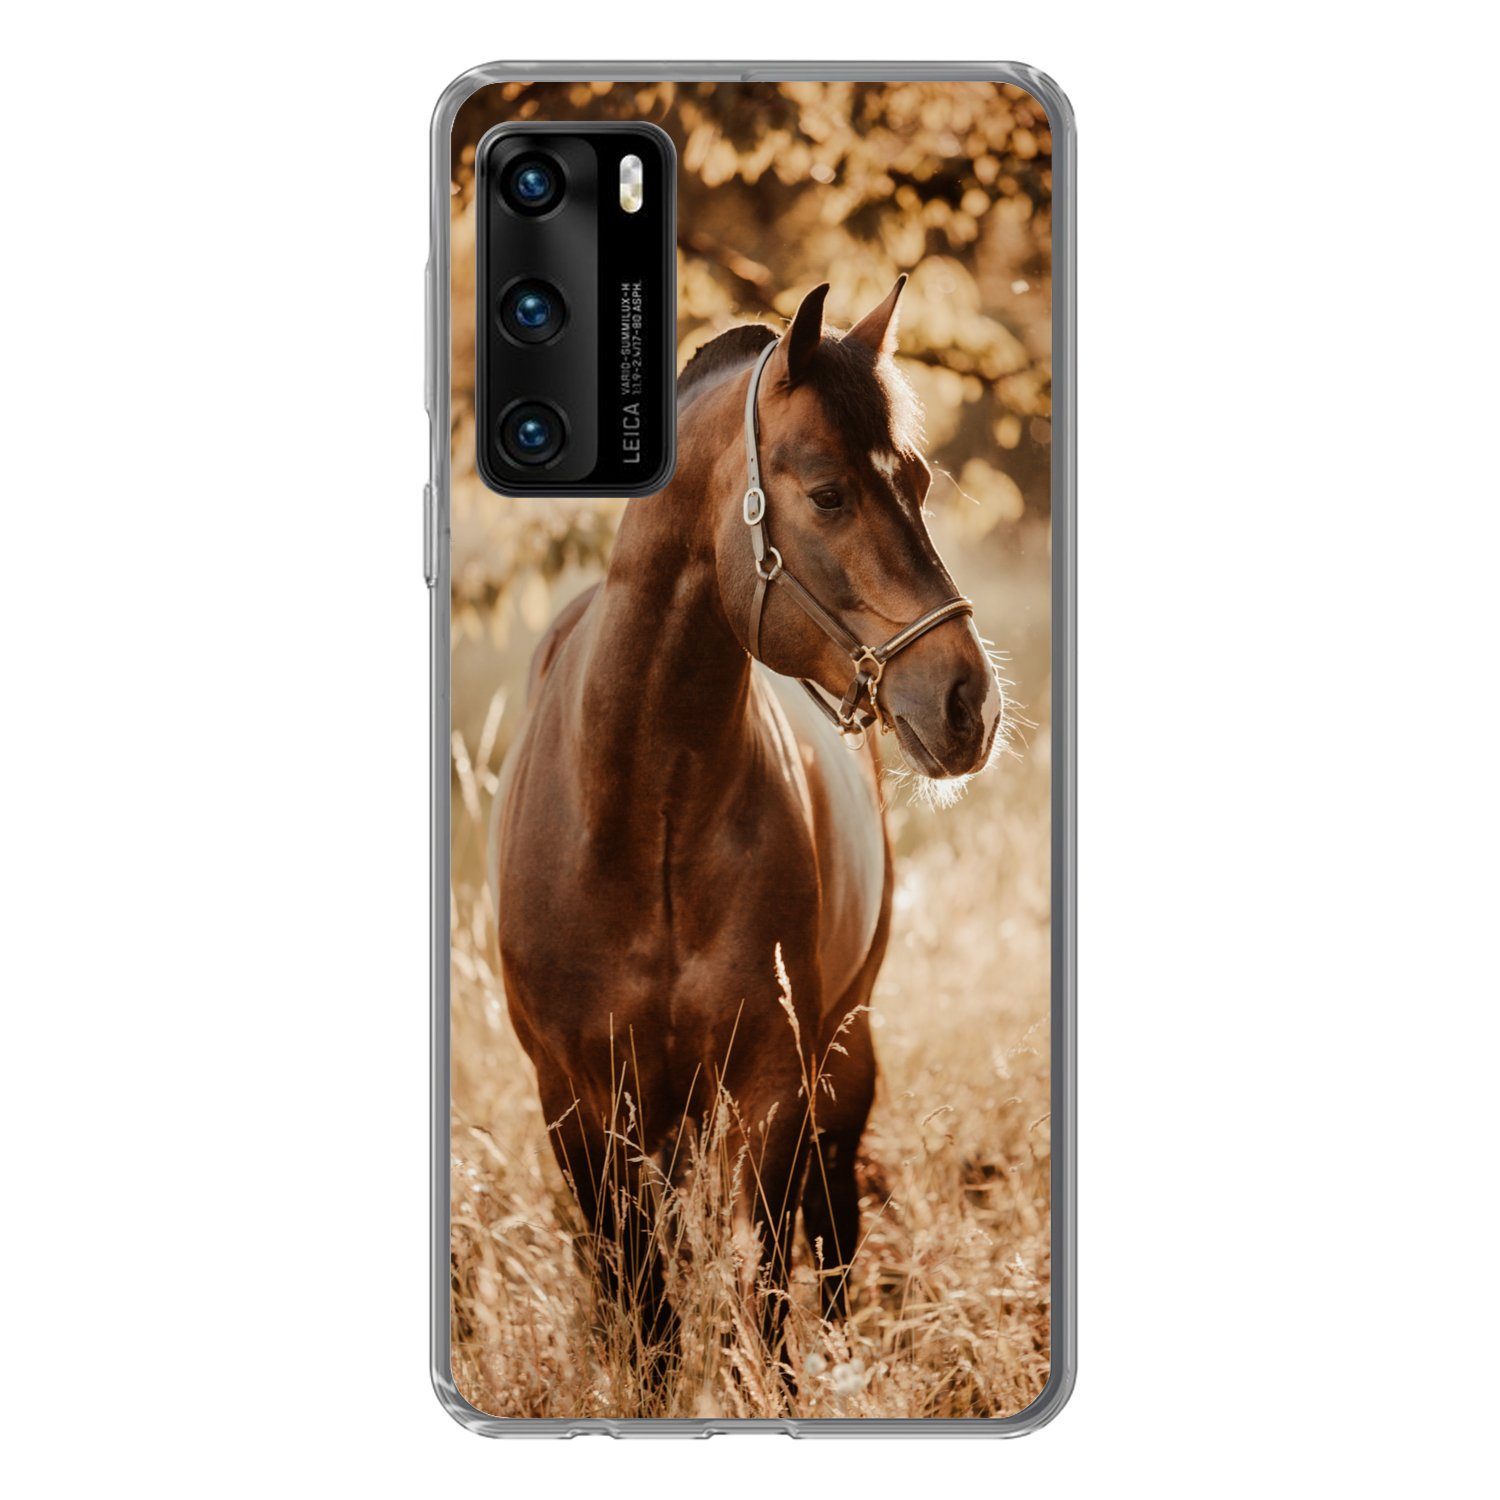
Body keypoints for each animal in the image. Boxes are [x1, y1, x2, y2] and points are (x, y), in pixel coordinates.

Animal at [489, 277, 1003, 1388]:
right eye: (829, 495)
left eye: (919, 479)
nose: (969, 704)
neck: (642, 817)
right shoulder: (577, 1102)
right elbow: (644, 1311)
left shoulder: (773, 1085)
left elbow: (767, 1297)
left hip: (841, 1061)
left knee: (834, 1237)